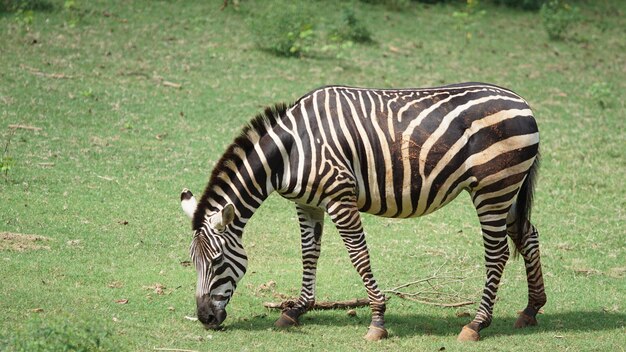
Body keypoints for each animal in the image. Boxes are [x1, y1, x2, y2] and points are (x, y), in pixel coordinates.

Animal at [180, 82, 544, 340]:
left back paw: (476, 324)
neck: (290, 152)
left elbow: (359, 256)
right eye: (192, 262)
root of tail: (522, 101)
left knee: (497, 253)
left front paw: (378, 320)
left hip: (492, 188)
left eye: (217, 262)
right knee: (527, 235)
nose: (205, 319)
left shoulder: (340, 197)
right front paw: (296, 311)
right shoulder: (307, 203)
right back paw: (531, 310)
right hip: (507, 189)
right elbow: (309, 253)